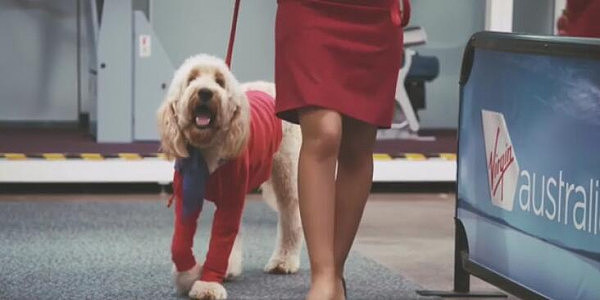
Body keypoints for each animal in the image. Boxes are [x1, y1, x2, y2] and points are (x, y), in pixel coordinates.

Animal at [156, 54, 302, 300]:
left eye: (219, 81)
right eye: (192, 78)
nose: (205, 92)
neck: (207, 150)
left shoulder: (231, 199)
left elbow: (220, 242)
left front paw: (207, 284)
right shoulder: (188, 198)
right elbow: (180, 244)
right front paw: (188, 276)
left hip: (286, 175)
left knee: (291, 217)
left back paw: (284, 261)